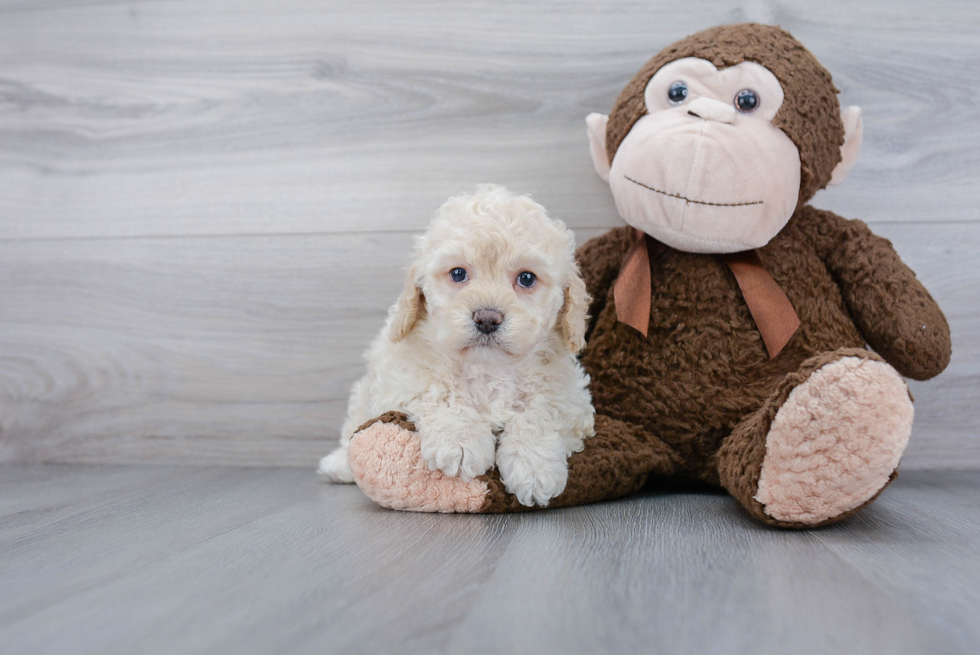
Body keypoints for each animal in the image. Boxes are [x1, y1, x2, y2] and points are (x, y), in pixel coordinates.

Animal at [322, 184, 596, 508]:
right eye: (458, 274)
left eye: (527, 278)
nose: (487, 318)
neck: (487, 368)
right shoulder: (400, 380)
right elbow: (440, 392)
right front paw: (461, 443)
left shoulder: (571, 399)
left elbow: (541, 411)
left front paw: (534, 468)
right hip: (364, 391)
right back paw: (338, 465)